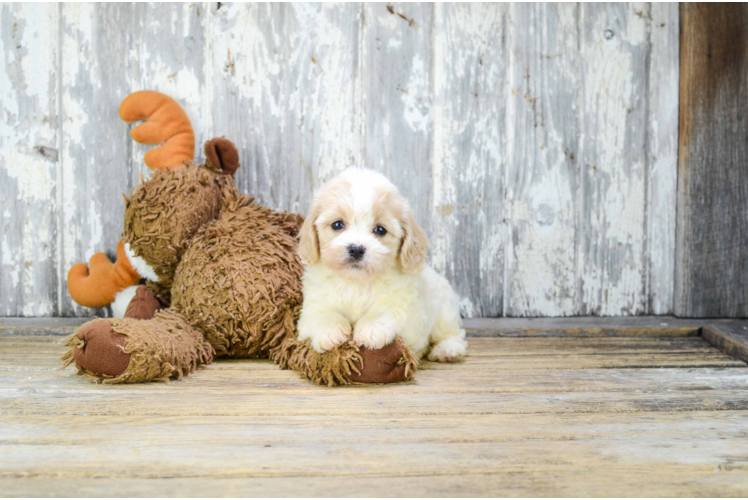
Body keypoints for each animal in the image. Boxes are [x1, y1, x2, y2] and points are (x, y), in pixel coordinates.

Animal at [296, 168, 468, 364]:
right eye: (337, 224)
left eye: (380, 230)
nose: (356, 249)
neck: (357, 283)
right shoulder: (312, 307)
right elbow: (322, 314)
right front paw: (330, 331)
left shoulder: (406, 309)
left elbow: (385, 311)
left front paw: (370, 329)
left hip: (446, 310)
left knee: (453, 334)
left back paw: (447, 350)